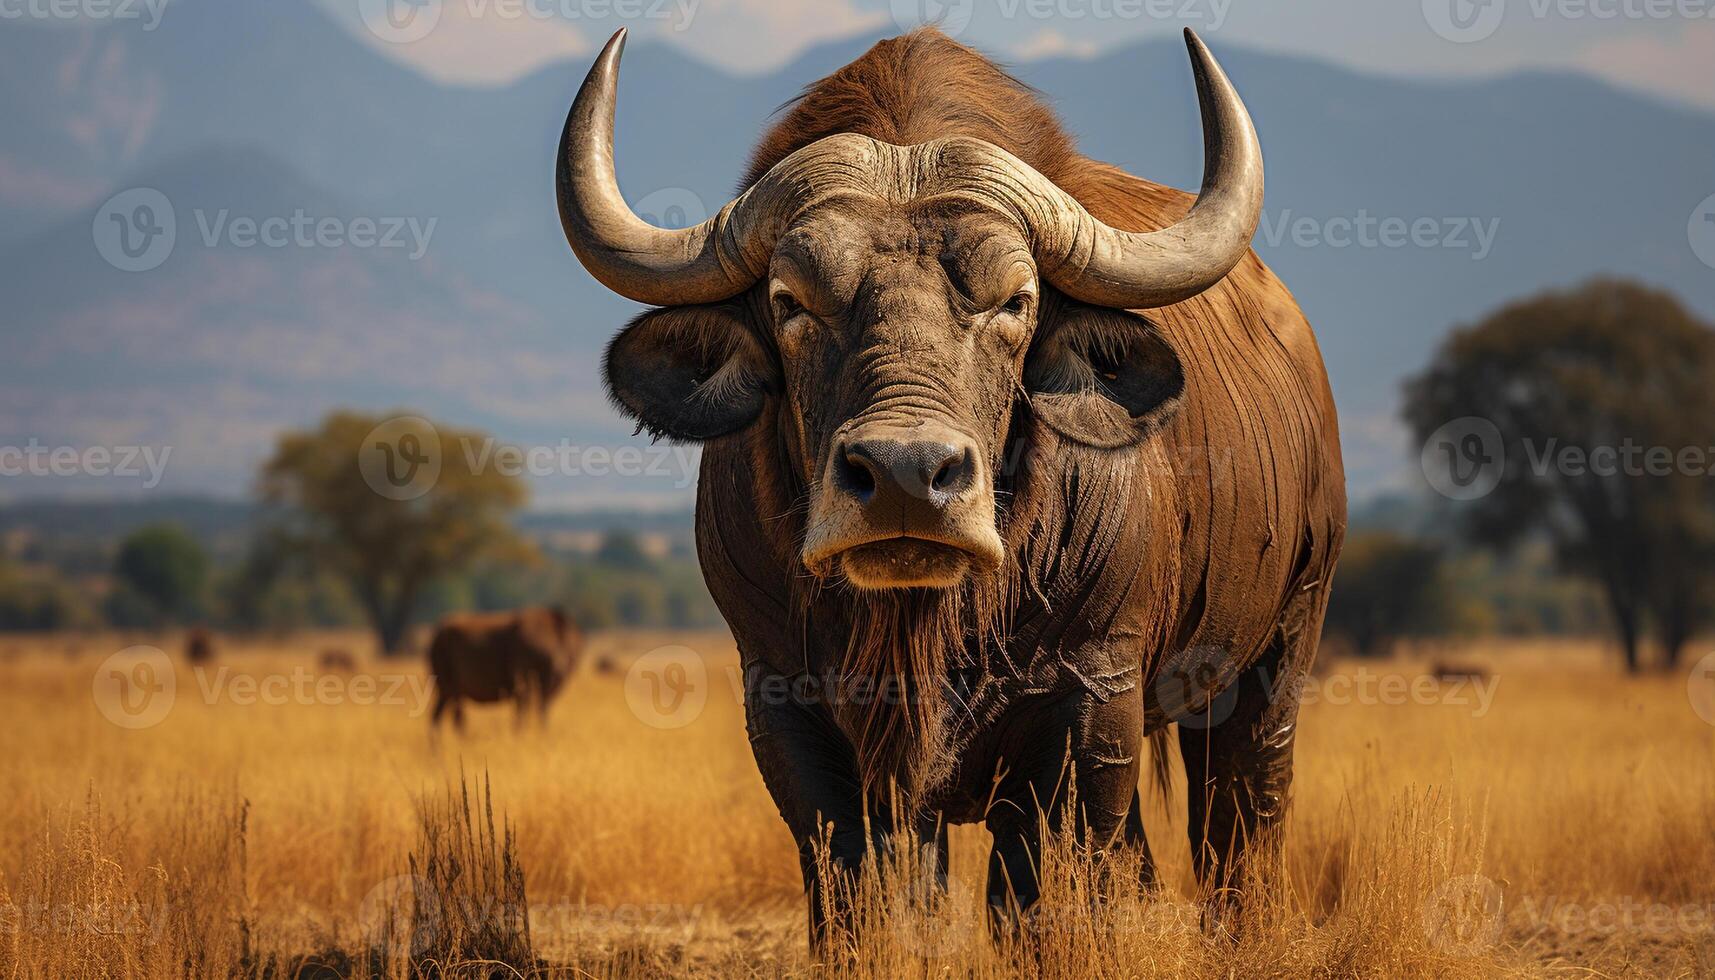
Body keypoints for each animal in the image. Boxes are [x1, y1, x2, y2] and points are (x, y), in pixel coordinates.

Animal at [427, 610, 583, 731]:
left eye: (568, 647)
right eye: (546, 649)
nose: (559, 667)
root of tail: (437, 637)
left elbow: (541, 710)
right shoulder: (522, 685)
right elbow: (523, 714)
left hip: (445, 691)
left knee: (436, 717)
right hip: (452, 687)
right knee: (457, 718)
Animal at [555, 26, 1344, 940]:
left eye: (1015, 300)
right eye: (789, 301)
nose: (905, 477)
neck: (925, 622)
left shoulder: (1090, 701)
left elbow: (1039, 897)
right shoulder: (787, 709)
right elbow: (858, 893)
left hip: (1275, 659)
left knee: (1239, 830)